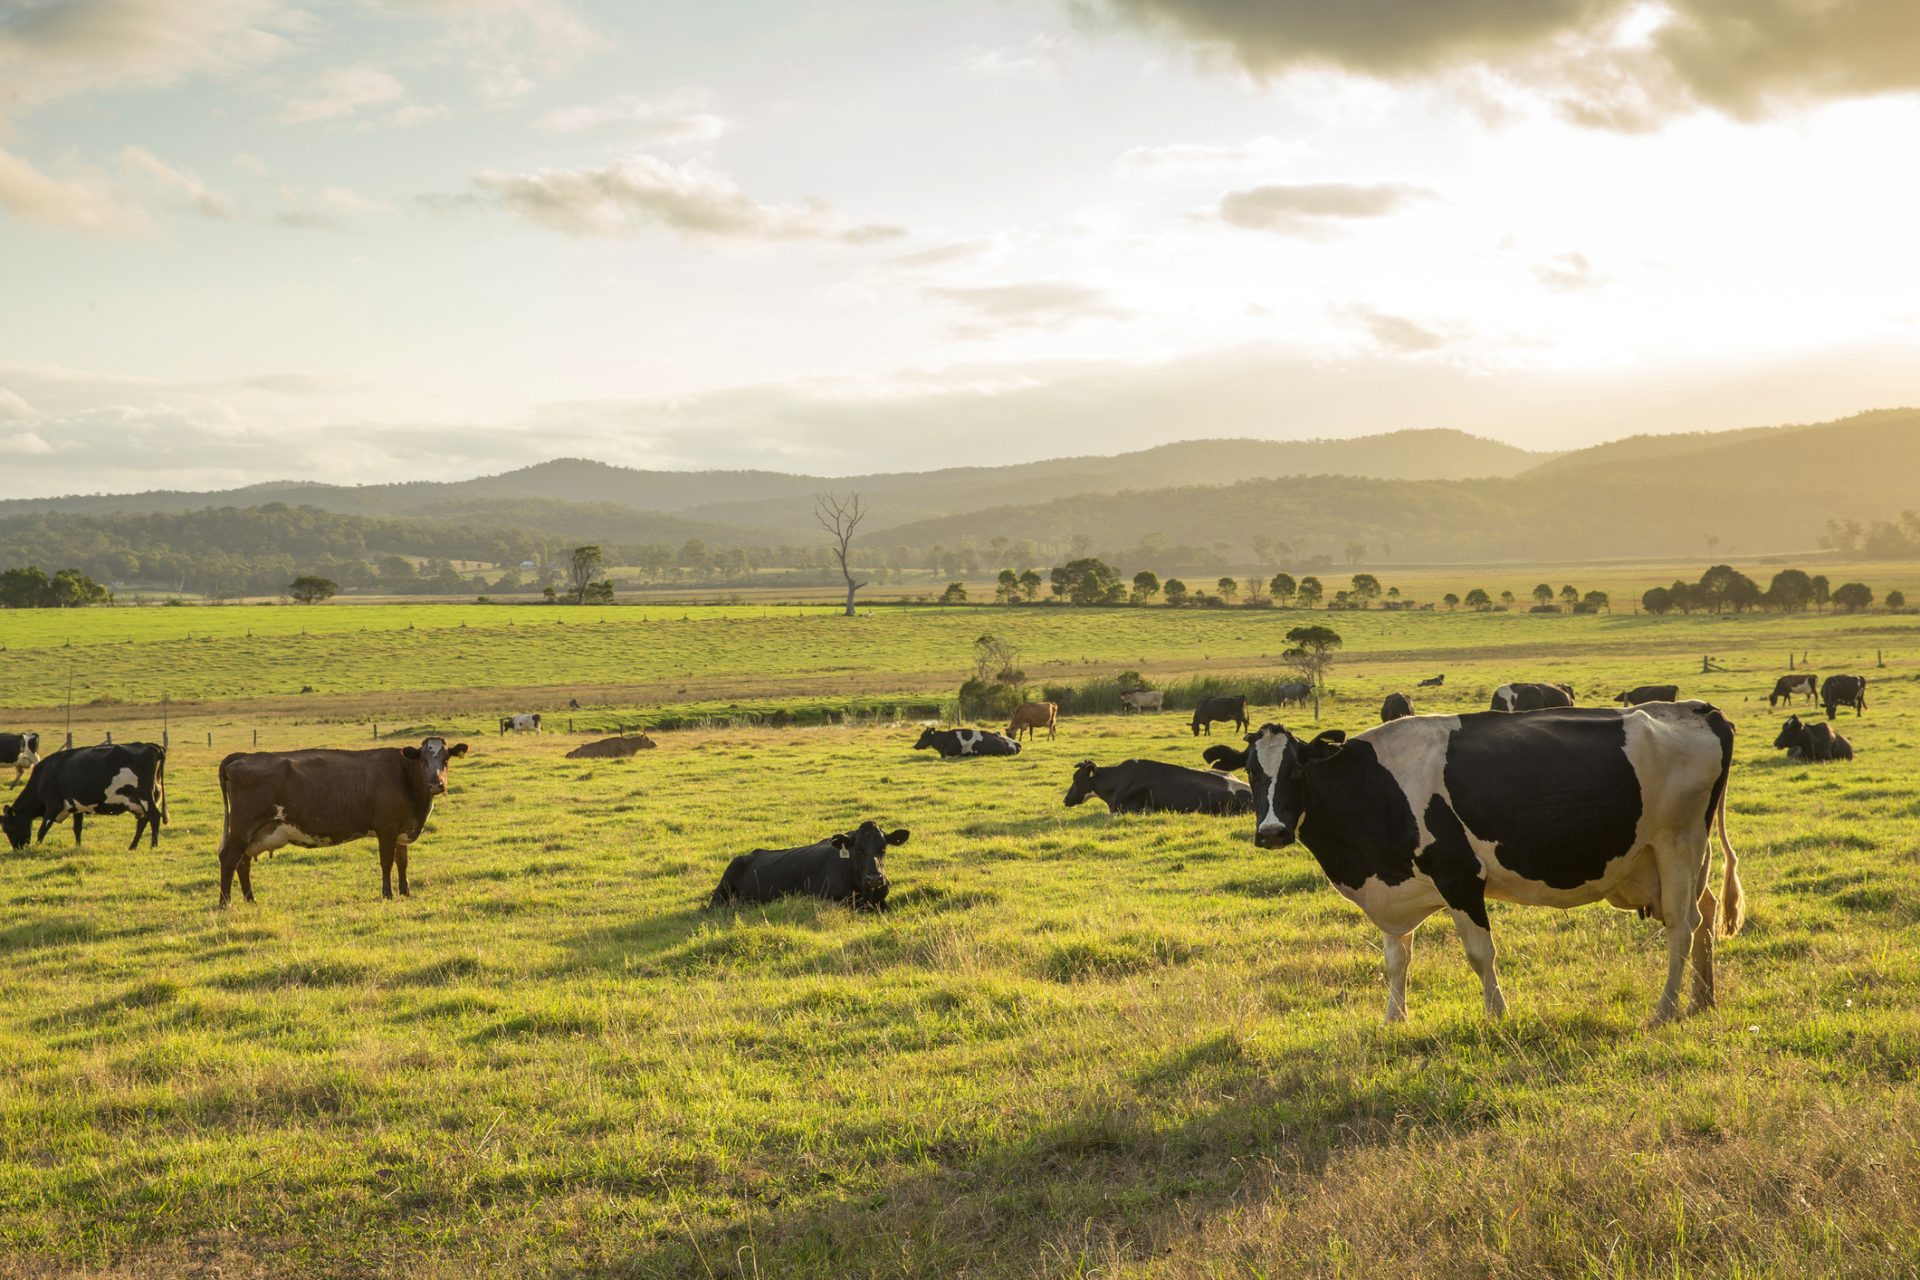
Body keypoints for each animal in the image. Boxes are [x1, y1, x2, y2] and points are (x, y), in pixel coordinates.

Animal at [1, 740, 167, 852]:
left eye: (8, 828)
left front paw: (36, 847)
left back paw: (153, 845)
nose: (17, 849)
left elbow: (42, 829)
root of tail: (151, 746)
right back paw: (132, 846)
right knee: (143, 820)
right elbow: (77, 829)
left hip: (144, 796)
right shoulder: (77, 806)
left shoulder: (53, 805)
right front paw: (78, 846)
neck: (44, 775)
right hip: (141, 799)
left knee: (154, 816)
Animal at [214, 736, 468, 905]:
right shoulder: (386, 828)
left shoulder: (402, 829)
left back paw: (250, 899)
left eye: (446, 759)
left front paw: (406, 892)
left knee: (243, 862)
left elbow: (402, 862)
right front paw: (387, 893)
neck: (405, 775)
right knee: (229, 859)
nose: (436, 784)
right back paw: (225, 903)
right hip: (242, 827)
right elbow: (387, 862)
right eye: (423, 760)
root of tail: (243, 756)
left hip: (254, 833)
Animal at [1228, 706, 1743, 1028]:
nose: (1271, 831)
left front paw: (1498, 1015)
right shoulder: (1395, 889)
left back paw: (1665, 1009)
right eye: (1251, 772)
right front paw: (1394, 1020)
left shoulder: (1459, 878)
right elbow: (1396, 959)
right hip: (1679, 857)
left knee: (1682, 927)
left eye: (1296, 770)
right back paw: (1702, 999)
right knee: (1705, 914)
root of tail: (1697, 709)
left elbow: (1480, 954)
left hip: (1677, 843)